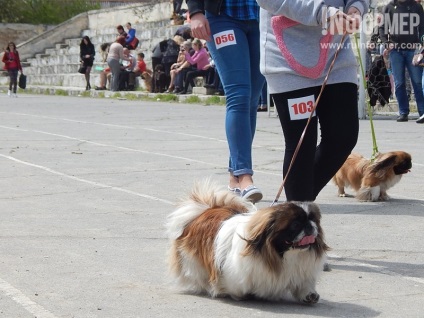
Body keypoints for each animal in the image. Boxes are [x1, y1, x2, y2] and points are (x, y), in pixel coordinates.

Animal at [166, 181, 328, 304]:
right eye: (295, 225)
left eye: (313, 220)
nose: (309, 226)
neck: (285, 255)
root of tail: (205, 210)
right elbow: (235, 287)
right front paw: (232, 293)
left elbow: (304, 284)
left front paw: (309, 295)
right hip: (192, 261)